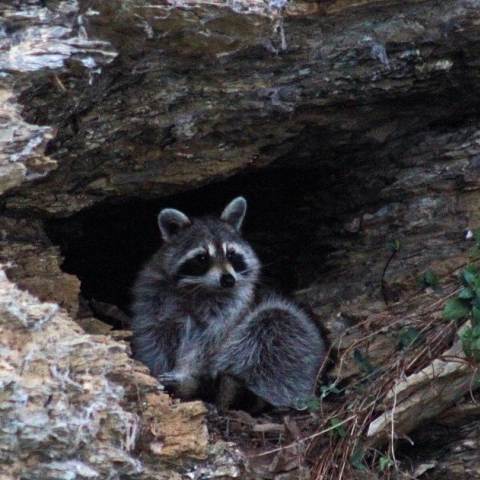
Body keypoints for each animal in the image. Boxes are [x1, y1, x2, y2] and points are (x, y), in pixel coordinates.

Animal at [131, 197, 326, 409]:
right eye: (202, 257)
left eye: (231, 254)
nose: (228, 280)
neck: (199, 289)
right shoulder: (154, 298)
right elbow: (153, 337)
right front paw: (156, 369)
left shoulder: (233, 308)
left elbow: (208, 344)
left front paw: (184, 372)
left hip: (302, 340)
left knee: (273, 325)